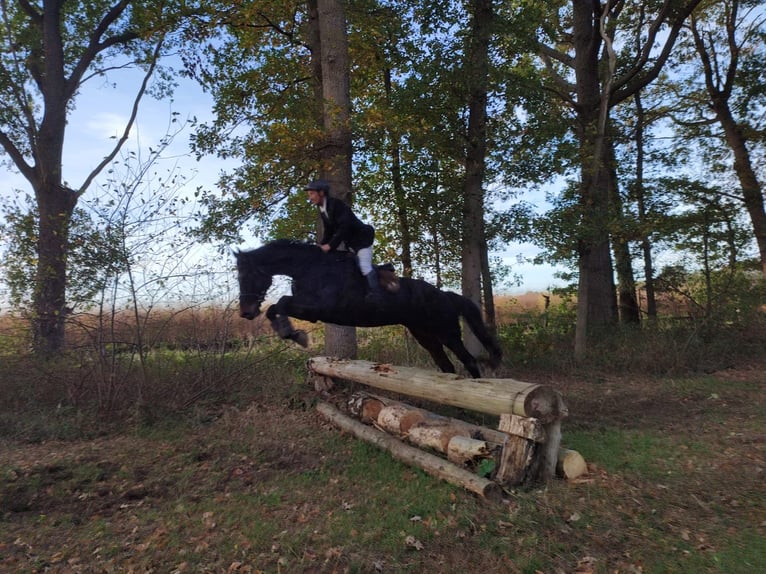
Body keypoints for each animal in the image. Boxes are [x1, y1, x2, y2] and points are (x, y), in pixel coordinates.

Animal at [237, 238, 508, 378]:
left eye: (248, 275)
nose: (246, 313)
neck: (310, 268)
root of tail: (446, 296)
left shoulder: (317, 308)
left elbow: (281, 302)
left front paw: (294, 334)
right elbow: (274, 307)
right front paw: (288, 332)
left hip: (447, 332)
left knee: (468, 362)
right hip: (425, 335)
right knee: (447, 366)